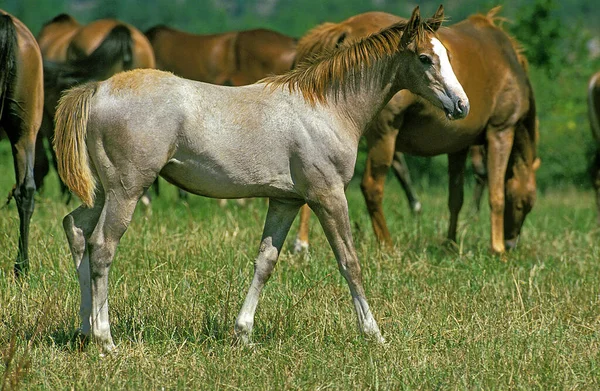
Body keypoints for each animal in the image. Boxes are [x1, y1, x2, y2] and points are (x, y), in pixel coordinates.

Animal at [52, 7, 468, 352]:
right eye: (425, 58)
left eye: (448, 55)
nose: (461, 105)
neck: (326, 106)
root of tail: (97, 89)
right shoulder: (329, 196)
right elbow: (350, 262)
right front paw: (374, 334)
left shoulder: (285, 201)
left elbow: (265, 261)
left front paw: (243, 334)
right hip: (127, 191)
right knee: (102, 247)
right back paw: (105, 340)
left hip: (102, 193)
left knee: (76, 231)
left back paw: (85, 330)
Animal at [296, 9, 540, 256]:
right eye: (523, 204)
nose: (511, 244)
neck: (508, 63)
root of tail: (344, 27)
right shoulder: (501, 132)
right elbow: (496, 195)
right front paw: (497, 250)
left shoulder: (459, 147)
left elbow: (456, 198)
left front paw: (450, 244)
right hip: (384, 137)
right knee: (372, 187)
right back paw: (386, 245)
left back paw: (302, 243)